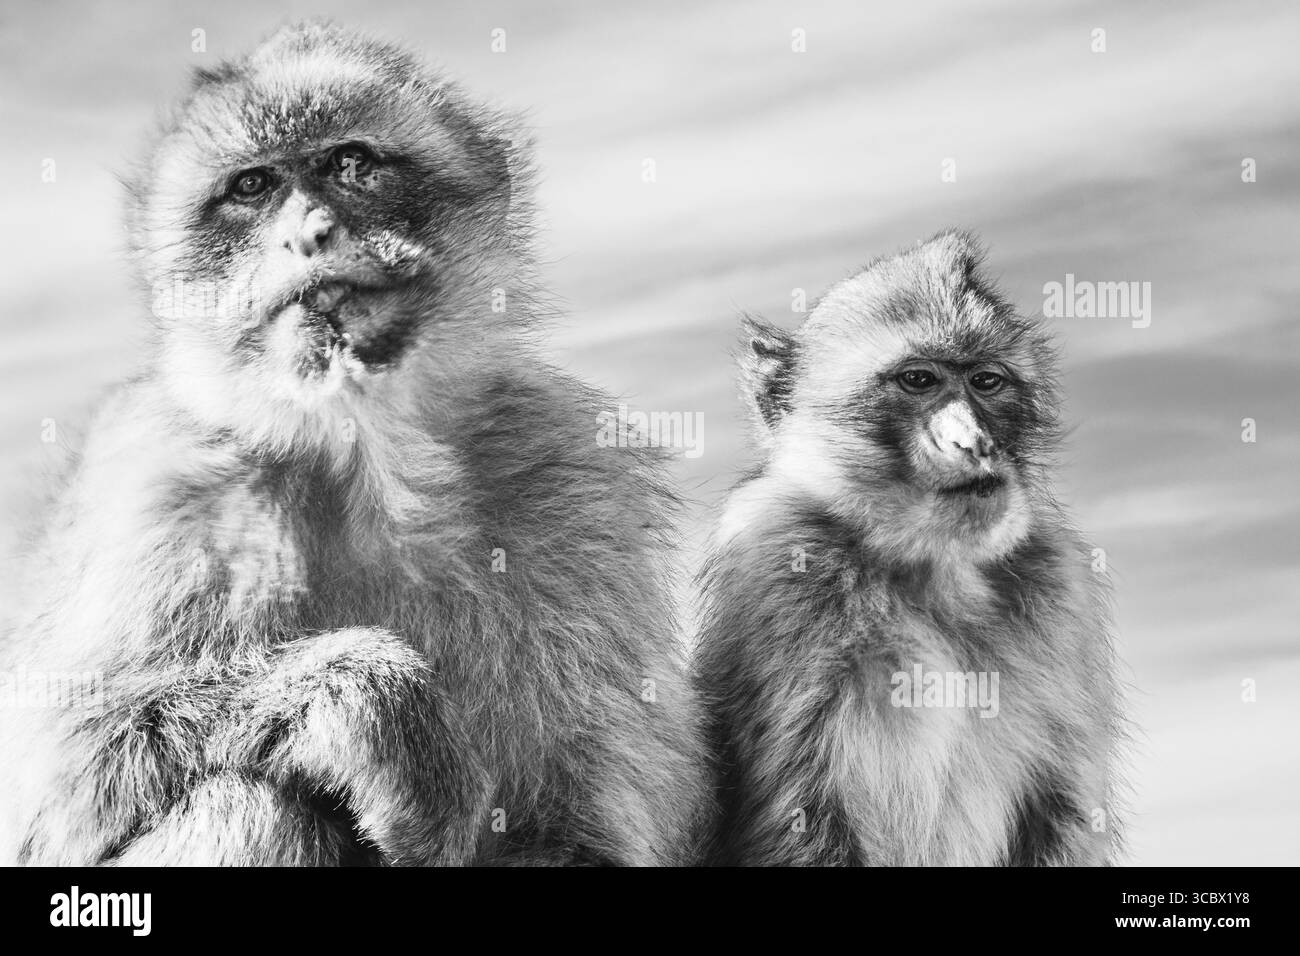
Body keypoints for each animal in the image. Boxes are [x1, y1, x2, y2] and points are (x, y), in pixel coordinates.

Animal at [0, 21, 708, 866]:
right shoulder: (161, 490)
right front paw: (376, 706)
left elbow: (580, 831)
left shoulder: (582, 496)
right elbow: (58, 777)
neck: (371, 456)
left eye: (351, 163)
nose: (311, 234)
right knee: (250, 805)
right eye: (252, 188)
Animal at [692, 231, 1124, 866]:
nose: (975, 442)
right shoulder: (780, 559)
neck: (933, 571)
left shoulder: (1061, 580)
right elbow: (802, 810)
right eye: (919, 380)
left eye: (986, 382)